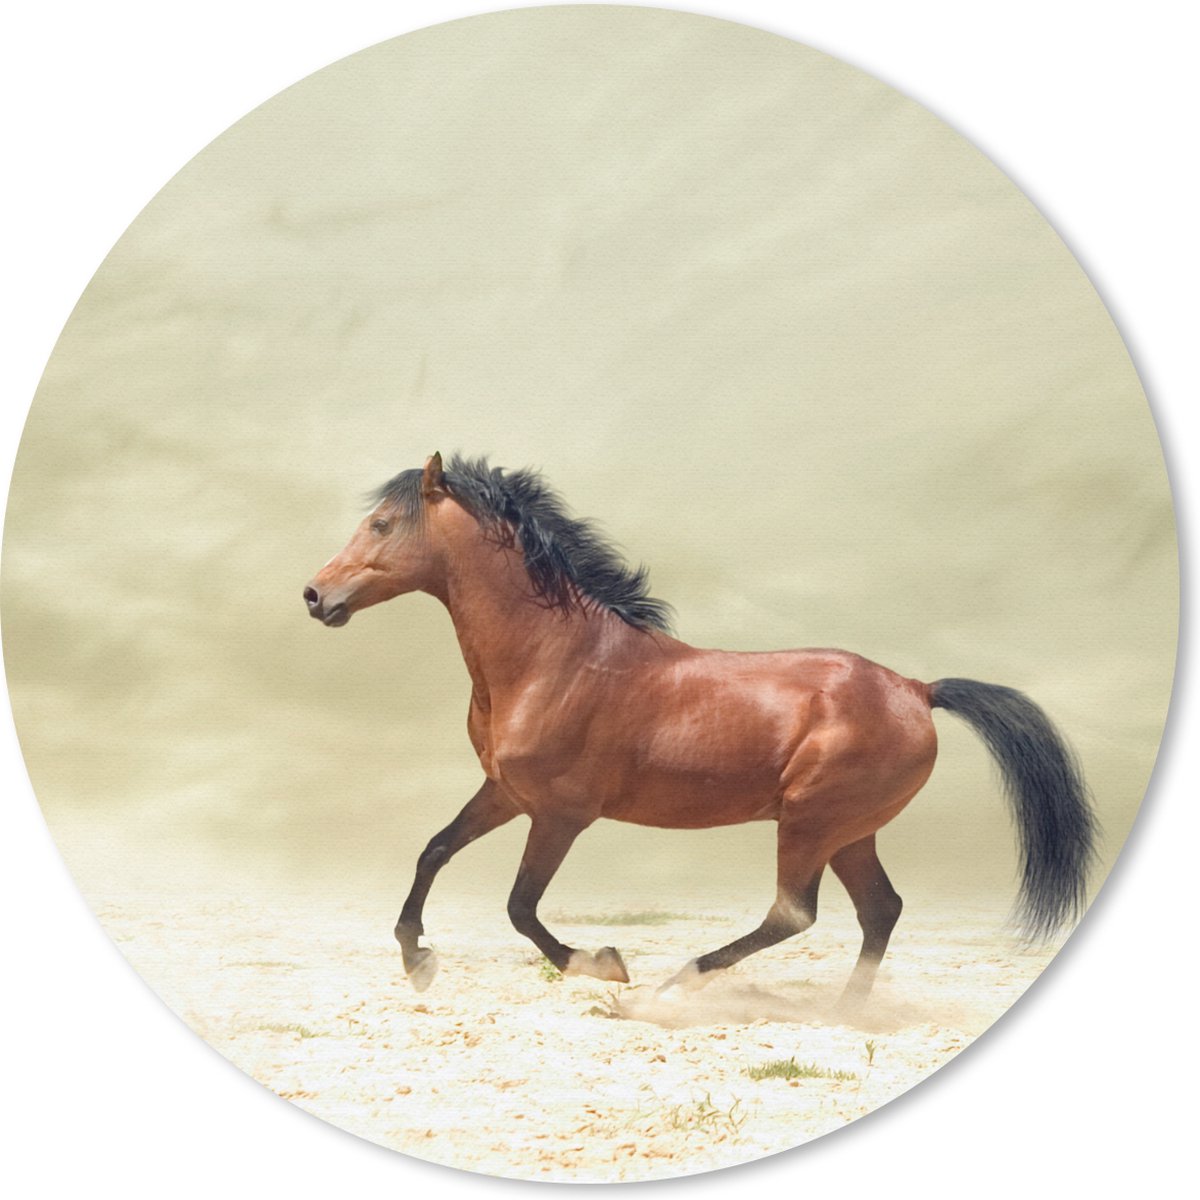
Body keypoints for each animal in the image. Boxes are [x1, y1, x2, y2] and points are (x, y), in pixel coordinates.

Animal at [303, 453, 1096, 1006]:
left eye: (381, 525)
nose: (315, 595)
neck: (552, 657)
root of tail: (916, 690)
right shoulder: (505, 793)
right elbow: (434, 851)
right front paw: (417, 960)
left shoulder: (561, 814)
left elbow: (520, 907)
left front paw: (604, 966)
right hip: (850, 831)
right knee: (880, 911)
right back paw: (845, 1011)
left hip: (811, 821)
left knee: (794, 913)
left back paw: (681, 981)